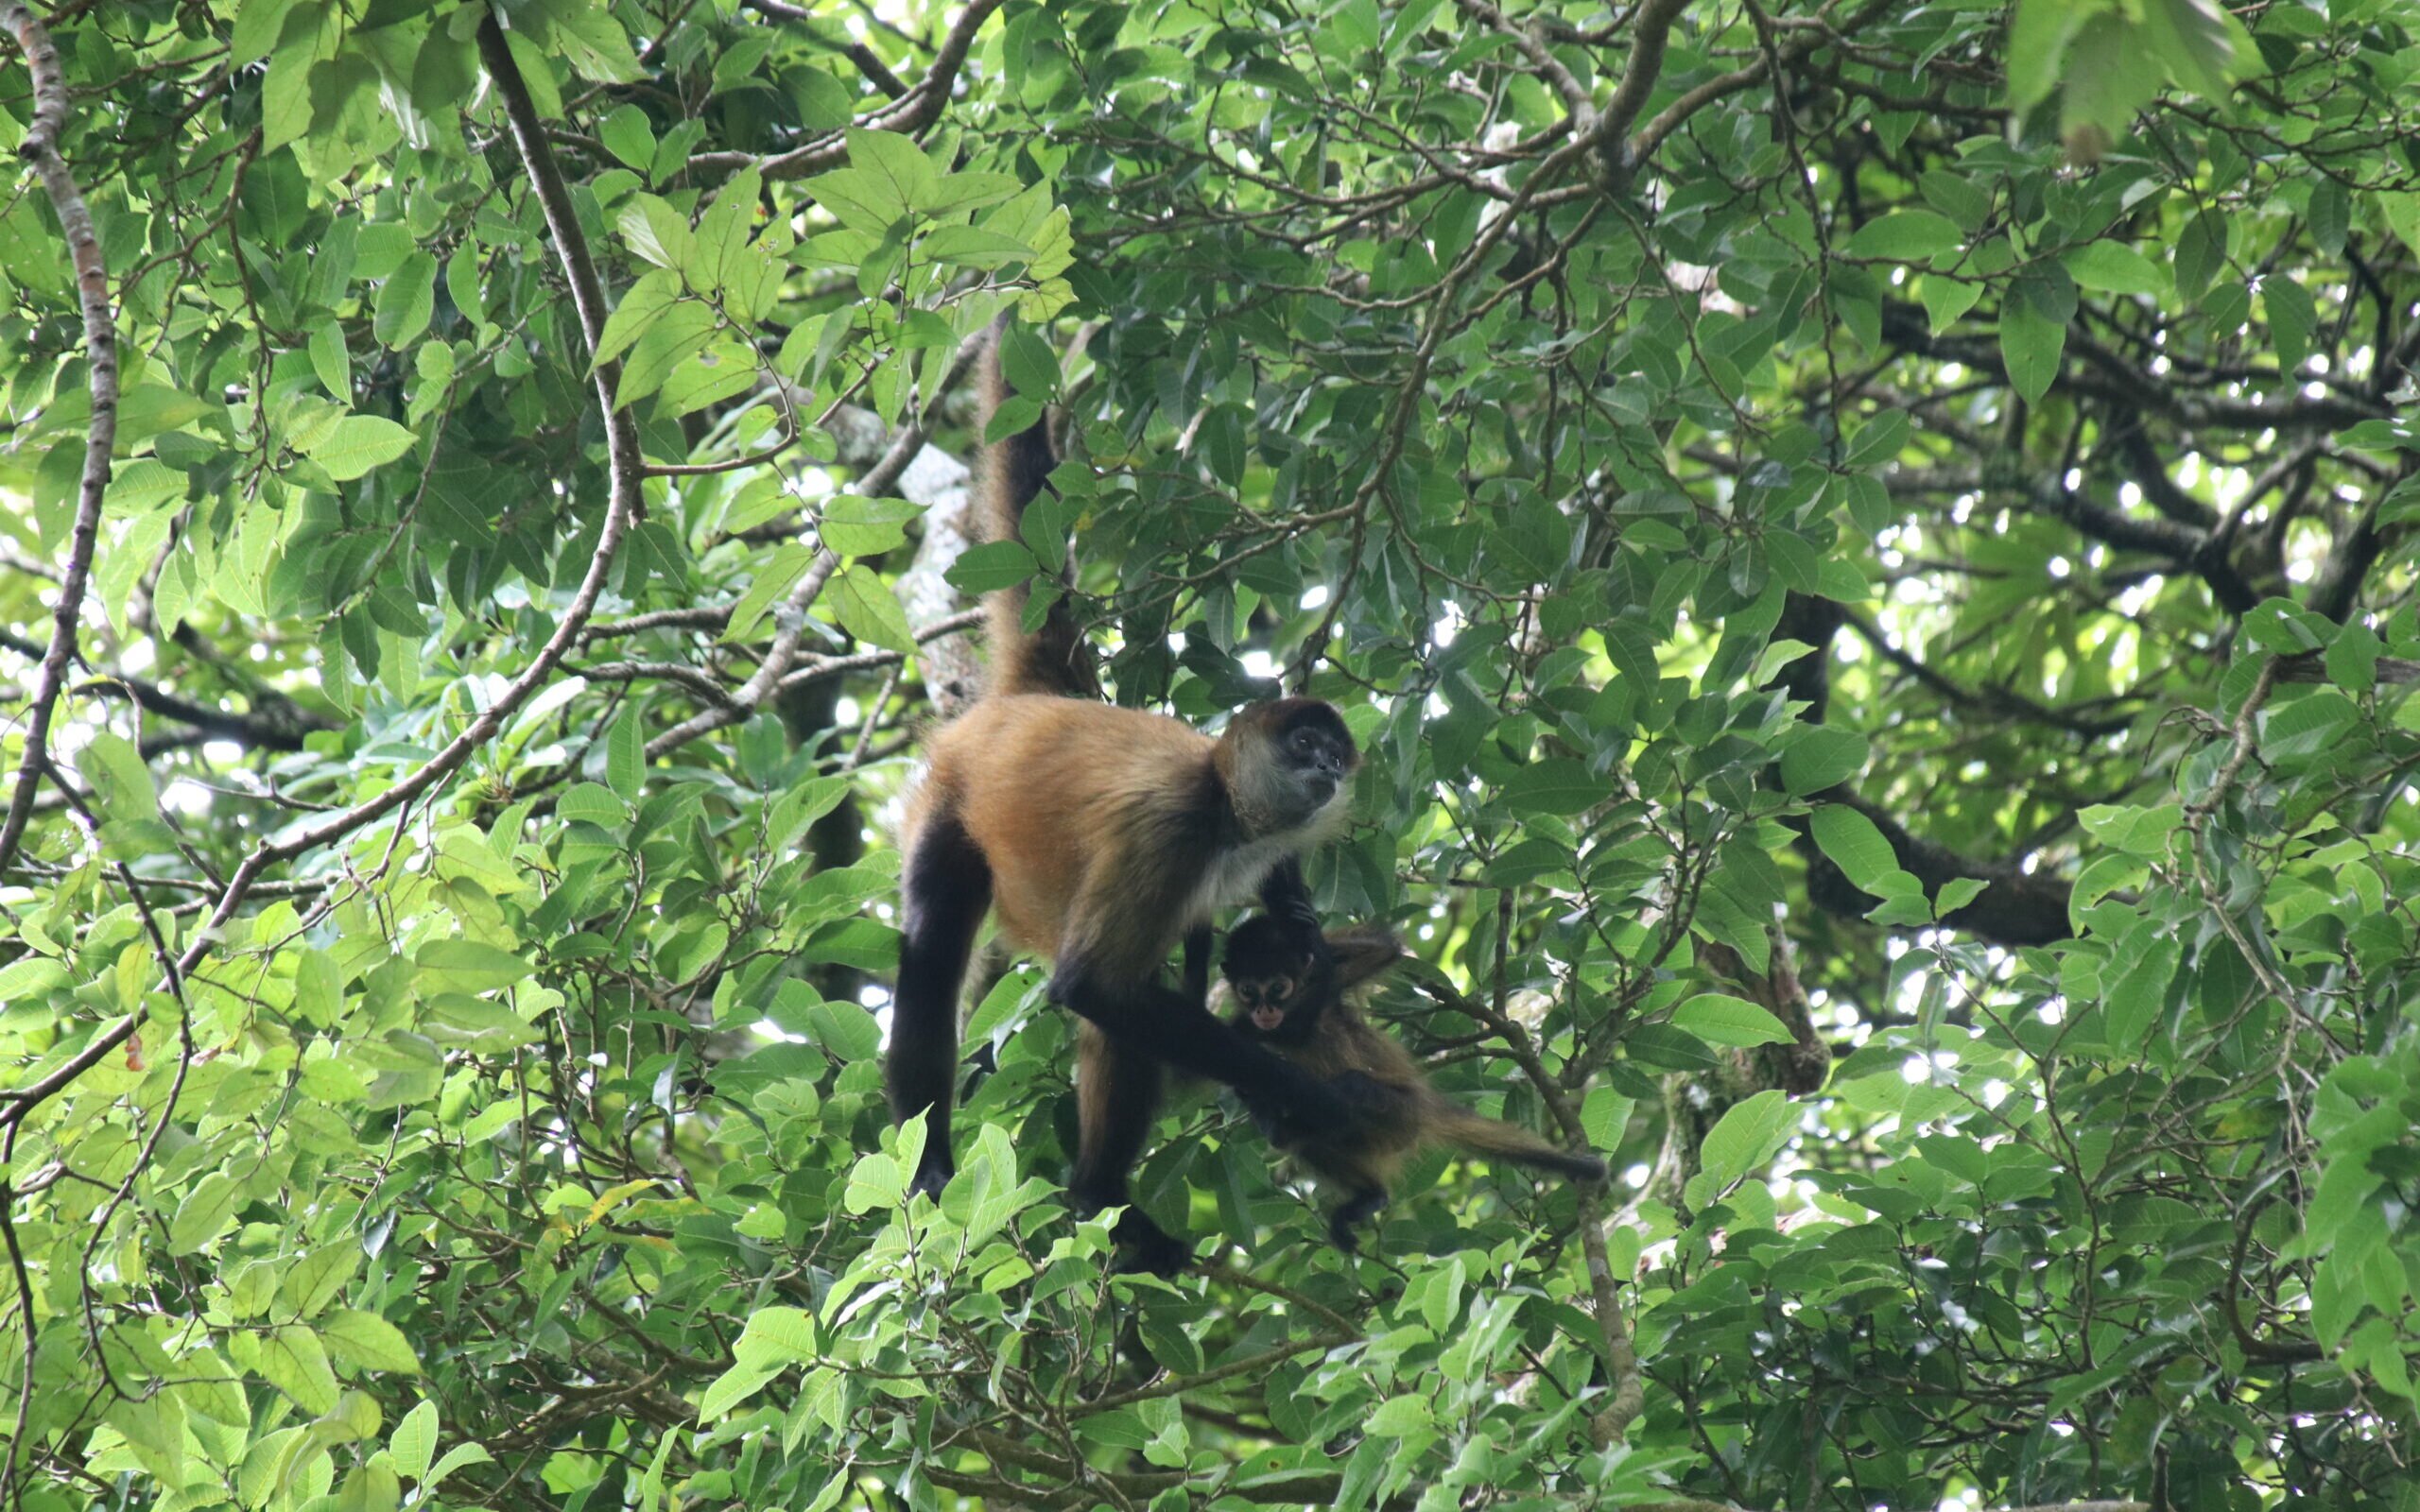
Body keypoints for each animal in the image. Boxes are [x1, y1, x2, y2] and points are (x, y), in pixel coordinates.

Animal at [884, 318, 1363, 1276]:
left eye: (1336, 751)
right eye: (1305, 745)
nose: (1329, 767)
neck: (1225, 807)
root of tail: (1033, 703)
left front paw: (1300, 932)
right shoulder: (1167, 829)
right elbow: (1090, 986)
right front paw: (1307, 1094)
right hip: (952, 797)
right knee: (942, 952)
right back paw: (997, 1180)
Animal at [1216, 914, 1608, 1253]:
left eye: (1277, 988)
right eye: (1248, 990)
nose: (1264, 1010)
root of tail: (1424, 1108)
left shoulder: (1325, 990)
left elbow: (1381, 949)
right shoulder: (1243, 1027)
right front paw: (1262, 1106)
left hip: (1396, 1114)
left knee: (1351, 1088)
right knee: (1301, 1140)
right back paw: (1368, 1193)